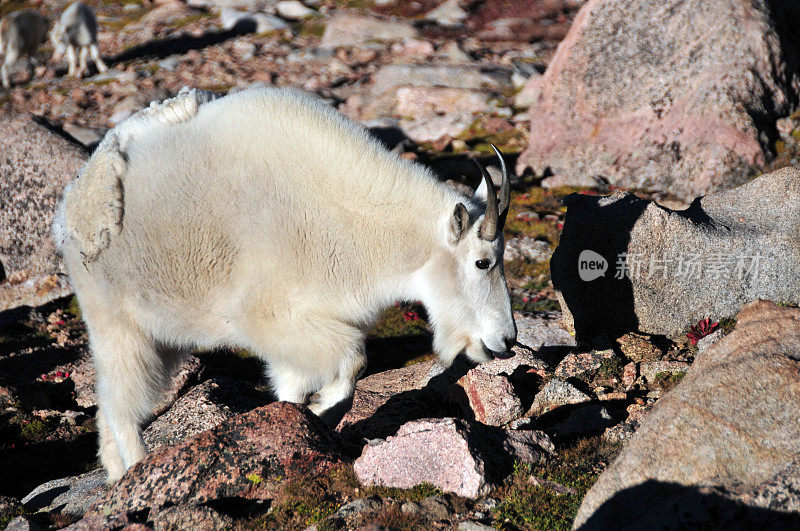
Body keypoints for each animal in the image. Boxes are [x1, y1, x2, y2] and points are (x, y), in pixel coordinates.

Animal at [53, 87, 516, 482]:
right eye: (482, 261)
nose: (506, 340)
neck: (353, 222)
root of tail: (73, 204)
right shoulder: (271, 317)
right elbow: (353, 361)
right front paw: (322, 411)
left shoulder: (302, 335)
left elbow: (298, 386)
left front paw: (303, 422)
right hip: (115, 321)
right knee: (122, 408)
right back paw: (136, 470)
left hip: (160, 336)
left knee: (107, 405)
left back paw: (115, 477)